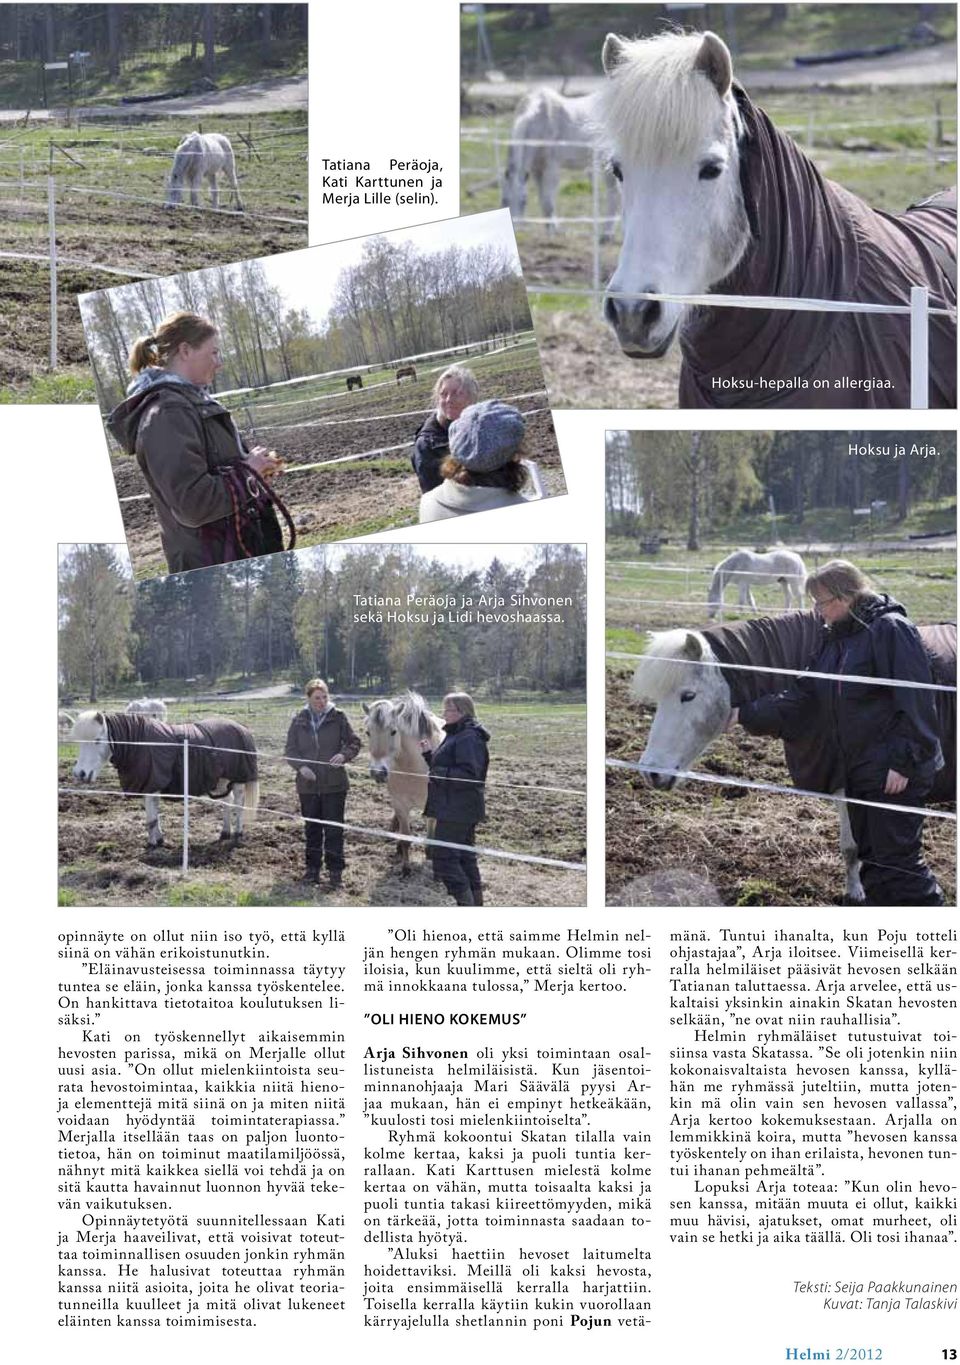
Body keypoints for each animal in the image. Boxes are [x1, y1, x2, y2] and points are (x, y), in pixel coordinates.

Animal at [363, 693, 447, 873]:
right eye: (368, 732)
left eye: (393, 731)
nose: (378, 772)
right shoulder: (400, 803)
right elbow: (405, 837)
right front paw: (406, 868)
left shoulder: (432, 803)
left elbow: (431, 827)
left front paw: (430, 852)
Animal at [499, 86, 619, 241]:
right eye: (504, 200)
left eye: (524, 201)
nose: (514, 231)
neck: (539, 120)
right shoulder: (537, 169)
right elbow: (543, 200)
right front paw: (550, 227)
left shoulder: (551, 168)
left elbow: (548, 201)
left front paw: (553, 232)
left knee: (614, 194)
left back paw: (607, 234)